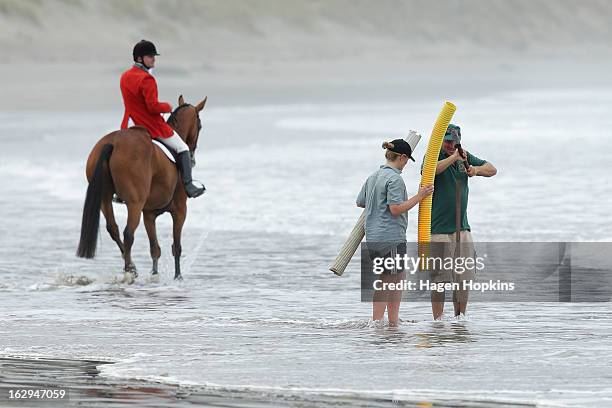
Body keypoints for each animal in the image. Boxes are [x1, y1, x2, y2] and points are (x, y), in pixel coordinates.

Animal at [75, 95, 206, 280]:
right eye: (200, 126)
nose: (193, 156)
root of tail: (112, 142)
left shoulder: (149, 214)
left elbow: (155, 249)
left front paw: (155, 274)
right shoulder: (180, 211)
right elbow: (176, 246)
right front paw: (178, 276)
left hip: (105, 199)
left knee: (113, 229)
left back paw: (132, 266)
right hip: (135, 203)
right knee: (128, 233)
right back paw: (129, 269)